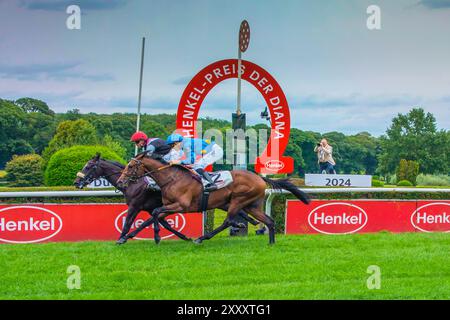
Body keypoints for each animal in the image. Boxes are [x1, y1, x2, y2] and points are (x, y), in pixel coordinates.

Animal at [118, 154, 312, 244]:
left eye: (131, 166)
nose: (120, 182)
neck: (172, 179)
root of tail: (259, 178)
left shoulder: (181, 205)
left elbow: (155, 213)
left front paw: (157, 237)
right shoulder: (171, 206)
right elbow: (153, 216)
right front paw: (126, 238)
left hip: (238, 201)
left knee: (228, 221)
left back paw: (204, 237)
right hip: (252, 205)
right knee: (269, 220)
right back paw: (270, 242)